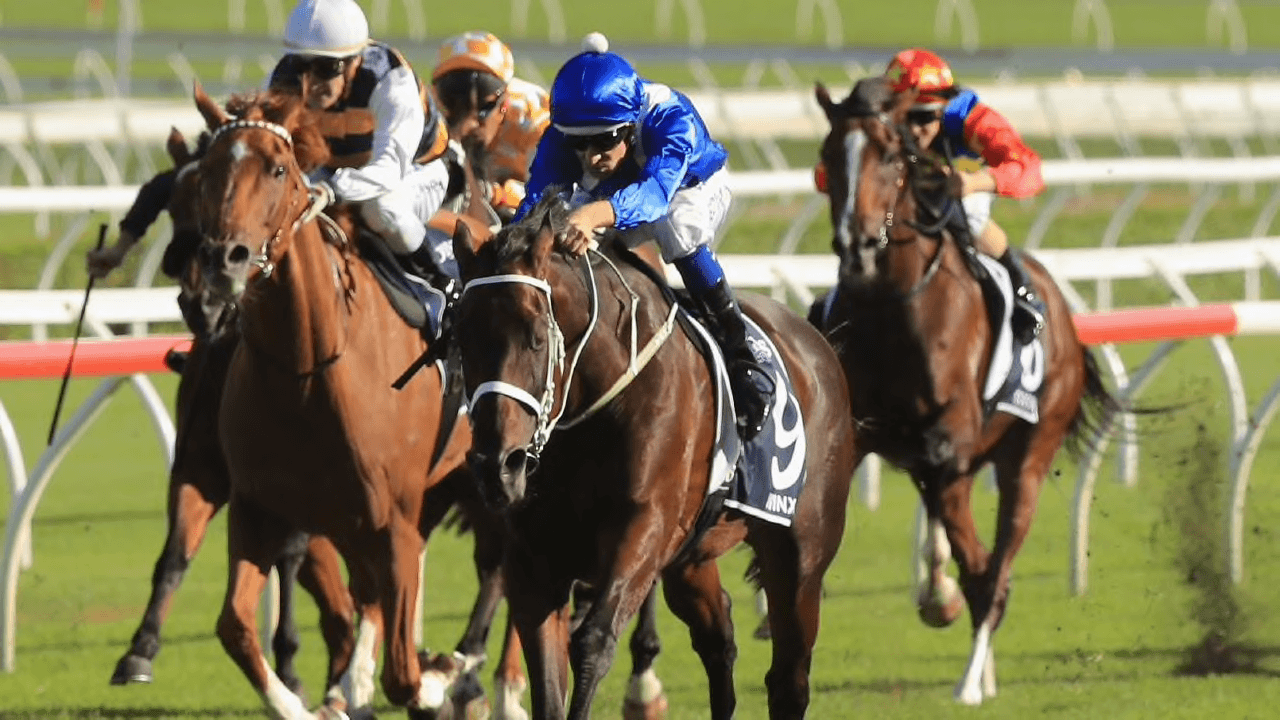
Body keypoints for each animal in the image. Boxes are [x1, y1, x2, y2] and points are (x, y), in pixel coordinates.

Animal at [450, 194, 860, 717]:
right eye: (461, 337)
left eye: (536, 337)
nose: (496, 467)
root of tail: (817, 344)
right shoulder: (533, 562)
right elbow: (547, 680)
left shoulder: (642, 529)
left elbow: (593, 642)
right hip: (690, 559)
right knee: (718, 637)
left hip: (801, 555)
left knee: (789, 678)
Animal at [814, 78, 1116, 702]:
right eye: (830, 155)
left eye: (890, 156)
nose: (857, 246)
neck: (894, 306)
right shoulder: (864, 431)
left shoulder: (949, 436)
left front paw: (943, 598)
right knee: (972, 554)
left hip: (1028, 456)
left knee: (993, 572)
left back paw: (972, 677)